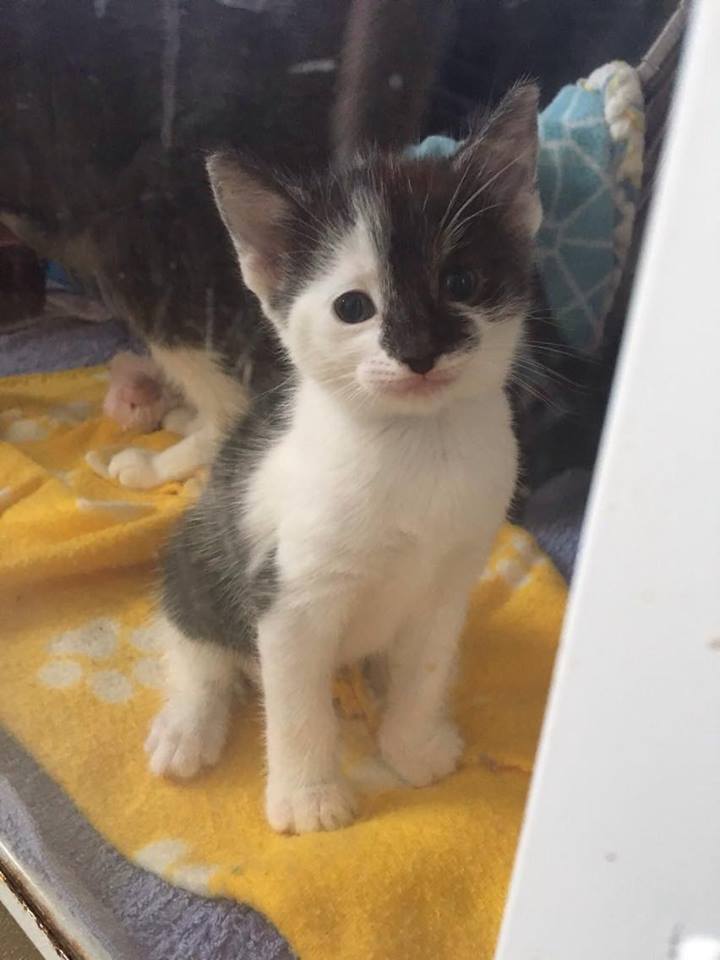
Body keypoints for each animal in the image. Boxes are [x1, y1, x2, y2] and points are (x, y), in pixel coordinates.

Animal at [144, 81, 541, 833]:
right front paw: (308, 797)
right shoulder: (289, 593)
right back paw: (188, 725)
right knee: (194, 639)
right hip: (199, 548)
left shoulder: (452, 575)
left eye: (462, 281)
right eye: (353, 307)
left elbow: (425, 665)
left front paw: (413, 745)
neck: (416, 447)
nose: (418, 351)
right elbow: (295, 706)